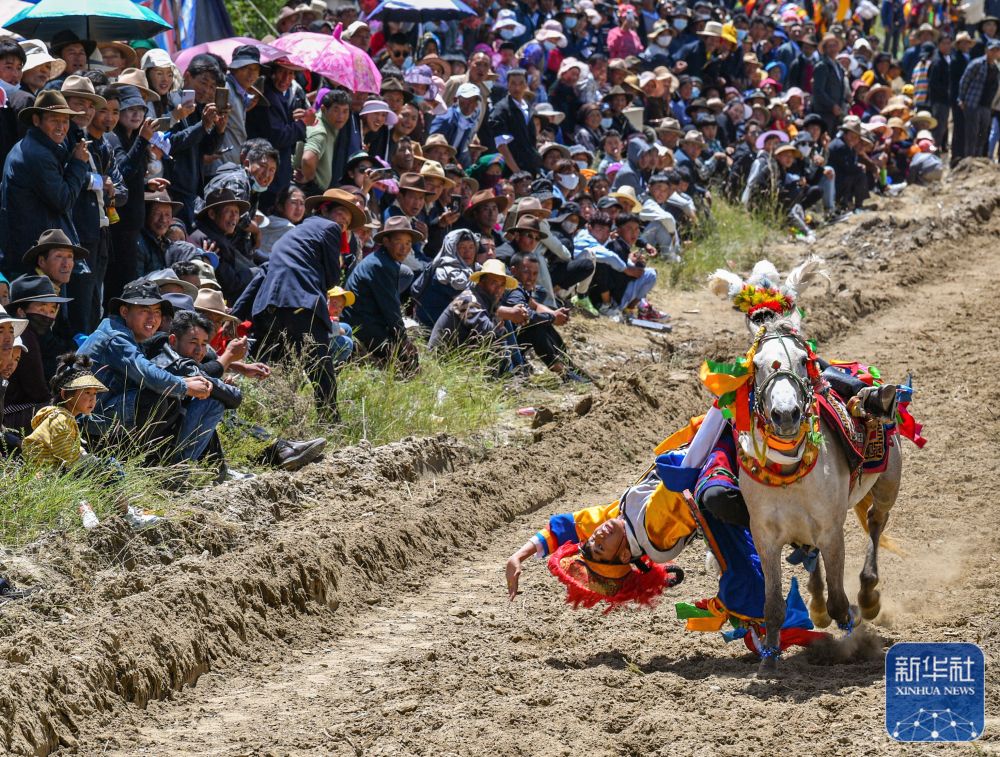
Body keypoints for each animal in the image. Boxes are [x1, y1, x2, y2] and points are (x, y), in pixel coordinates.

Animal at [740, 318, 904, 672]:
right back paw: (816, 603)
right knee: (811, 556)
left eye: (804, 360)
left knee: (875, 523)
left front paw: (854, 632)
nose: (785, 414)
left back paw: (868, 595)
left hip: (888, 485)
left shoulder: (831, 532)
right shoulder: (765, 538)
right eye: (756, 365)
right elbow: (773, 605)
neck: (790, 476)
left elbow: (840, 603)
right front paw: (769, 657)